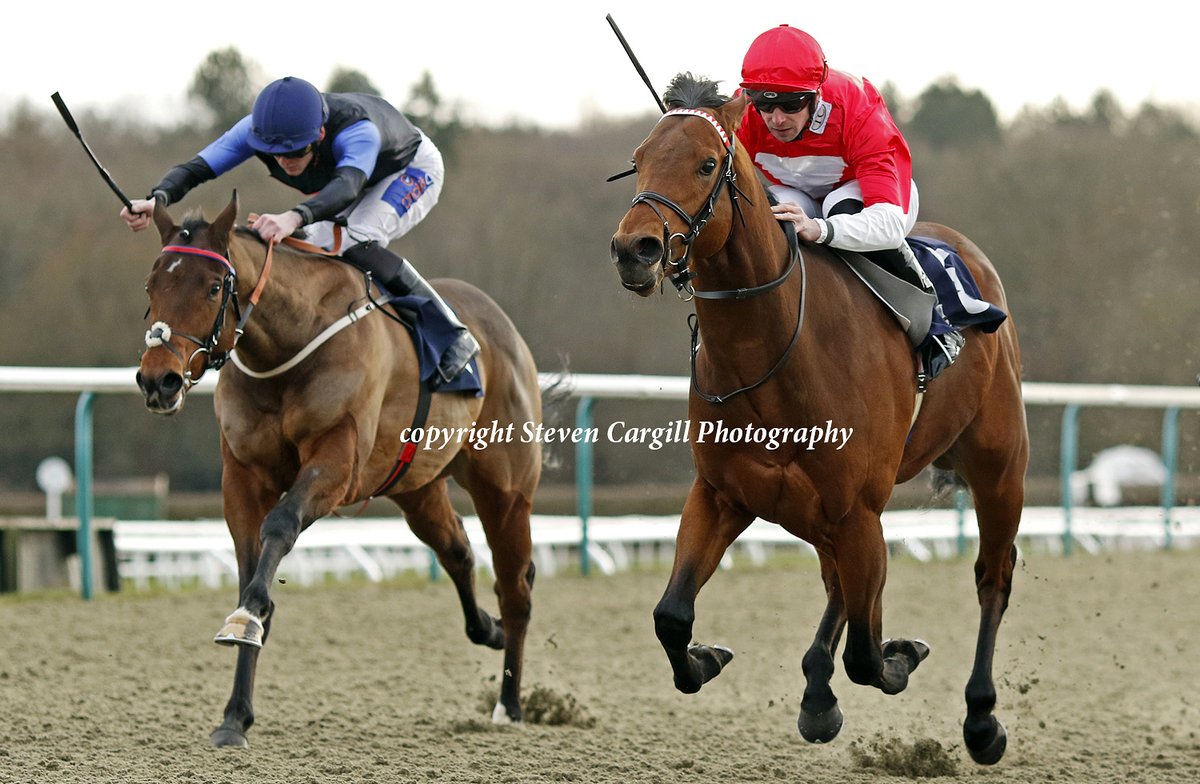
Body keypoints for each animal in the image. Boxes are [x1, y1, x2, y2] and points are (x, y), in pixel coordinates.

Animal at [135, 190, 540, 744]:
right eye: (151, 285)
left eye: (214, 286)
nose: (160, 381)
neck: (287, 345)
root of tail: (506, 331)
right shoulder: (241, 475)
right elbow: (251, 567)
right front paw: (234, 715)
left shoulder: (336, 462)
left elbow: (280, 526)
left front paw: (248, 617)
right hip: (416, 485)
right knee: (458, 551)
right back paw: (489, 630)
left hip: (506, 488)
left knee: (515, 584)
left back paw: (510, 704)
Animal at [614, 75, 1027, 763]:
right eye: (640, 159)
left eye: (706, 164)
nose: (633, 249)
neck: (777, 348)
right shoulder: (724, 493)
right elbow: (671, 615)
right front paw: (707, 658)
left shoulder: (859, 509)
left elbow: (867, 652)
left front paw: (902, 654)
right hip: (820, 509)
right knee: (838, 584)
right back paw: (816, 693)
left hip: (999, 470)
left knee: (991, 578)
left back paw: (981, 719)